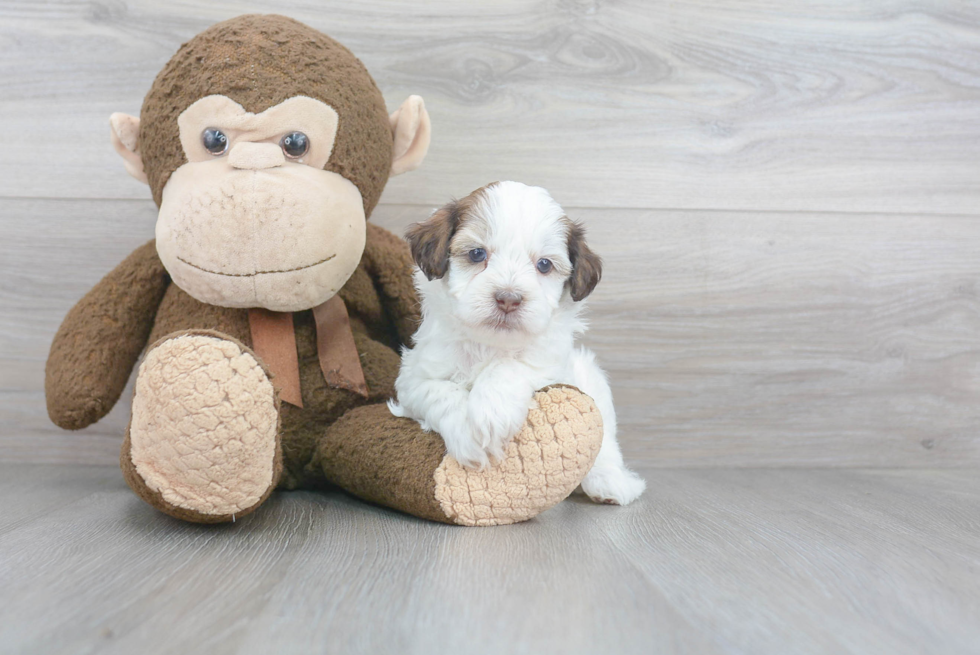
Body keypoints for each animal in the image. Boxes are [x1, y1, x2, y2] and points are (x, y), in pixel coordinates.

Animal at [386, 181, 648, 508]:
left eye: (544, 265)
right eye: (477, 254)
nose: (508, 298)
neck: (490, 344)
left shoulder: (552, 363)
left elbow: (512, 365)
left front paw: (492, 410)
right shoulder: (414, 378)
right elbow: (440, 392)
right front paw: (468, 435)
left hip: (591, 378)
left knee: (607, 439)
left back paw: (610, 482)